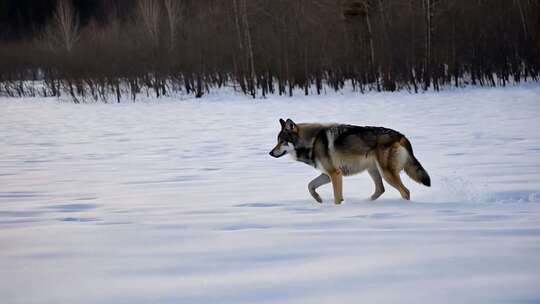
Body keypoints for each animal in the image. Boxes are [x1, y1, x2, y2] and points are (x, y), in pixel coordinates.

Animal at [268, 119, 430, 204]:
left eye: (282, 141)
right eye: (277, 141)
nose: (270, 153)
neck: (312, 141)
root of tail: (401, 136)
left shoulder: (335, 174)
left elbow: (336, 197)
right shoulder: (328, 175)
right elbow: (310, 186)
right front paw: (319, 200)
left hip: (386, 173)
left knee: (405, 191)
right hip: (373, 170)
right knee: (380, 189)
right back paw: (366, 203)